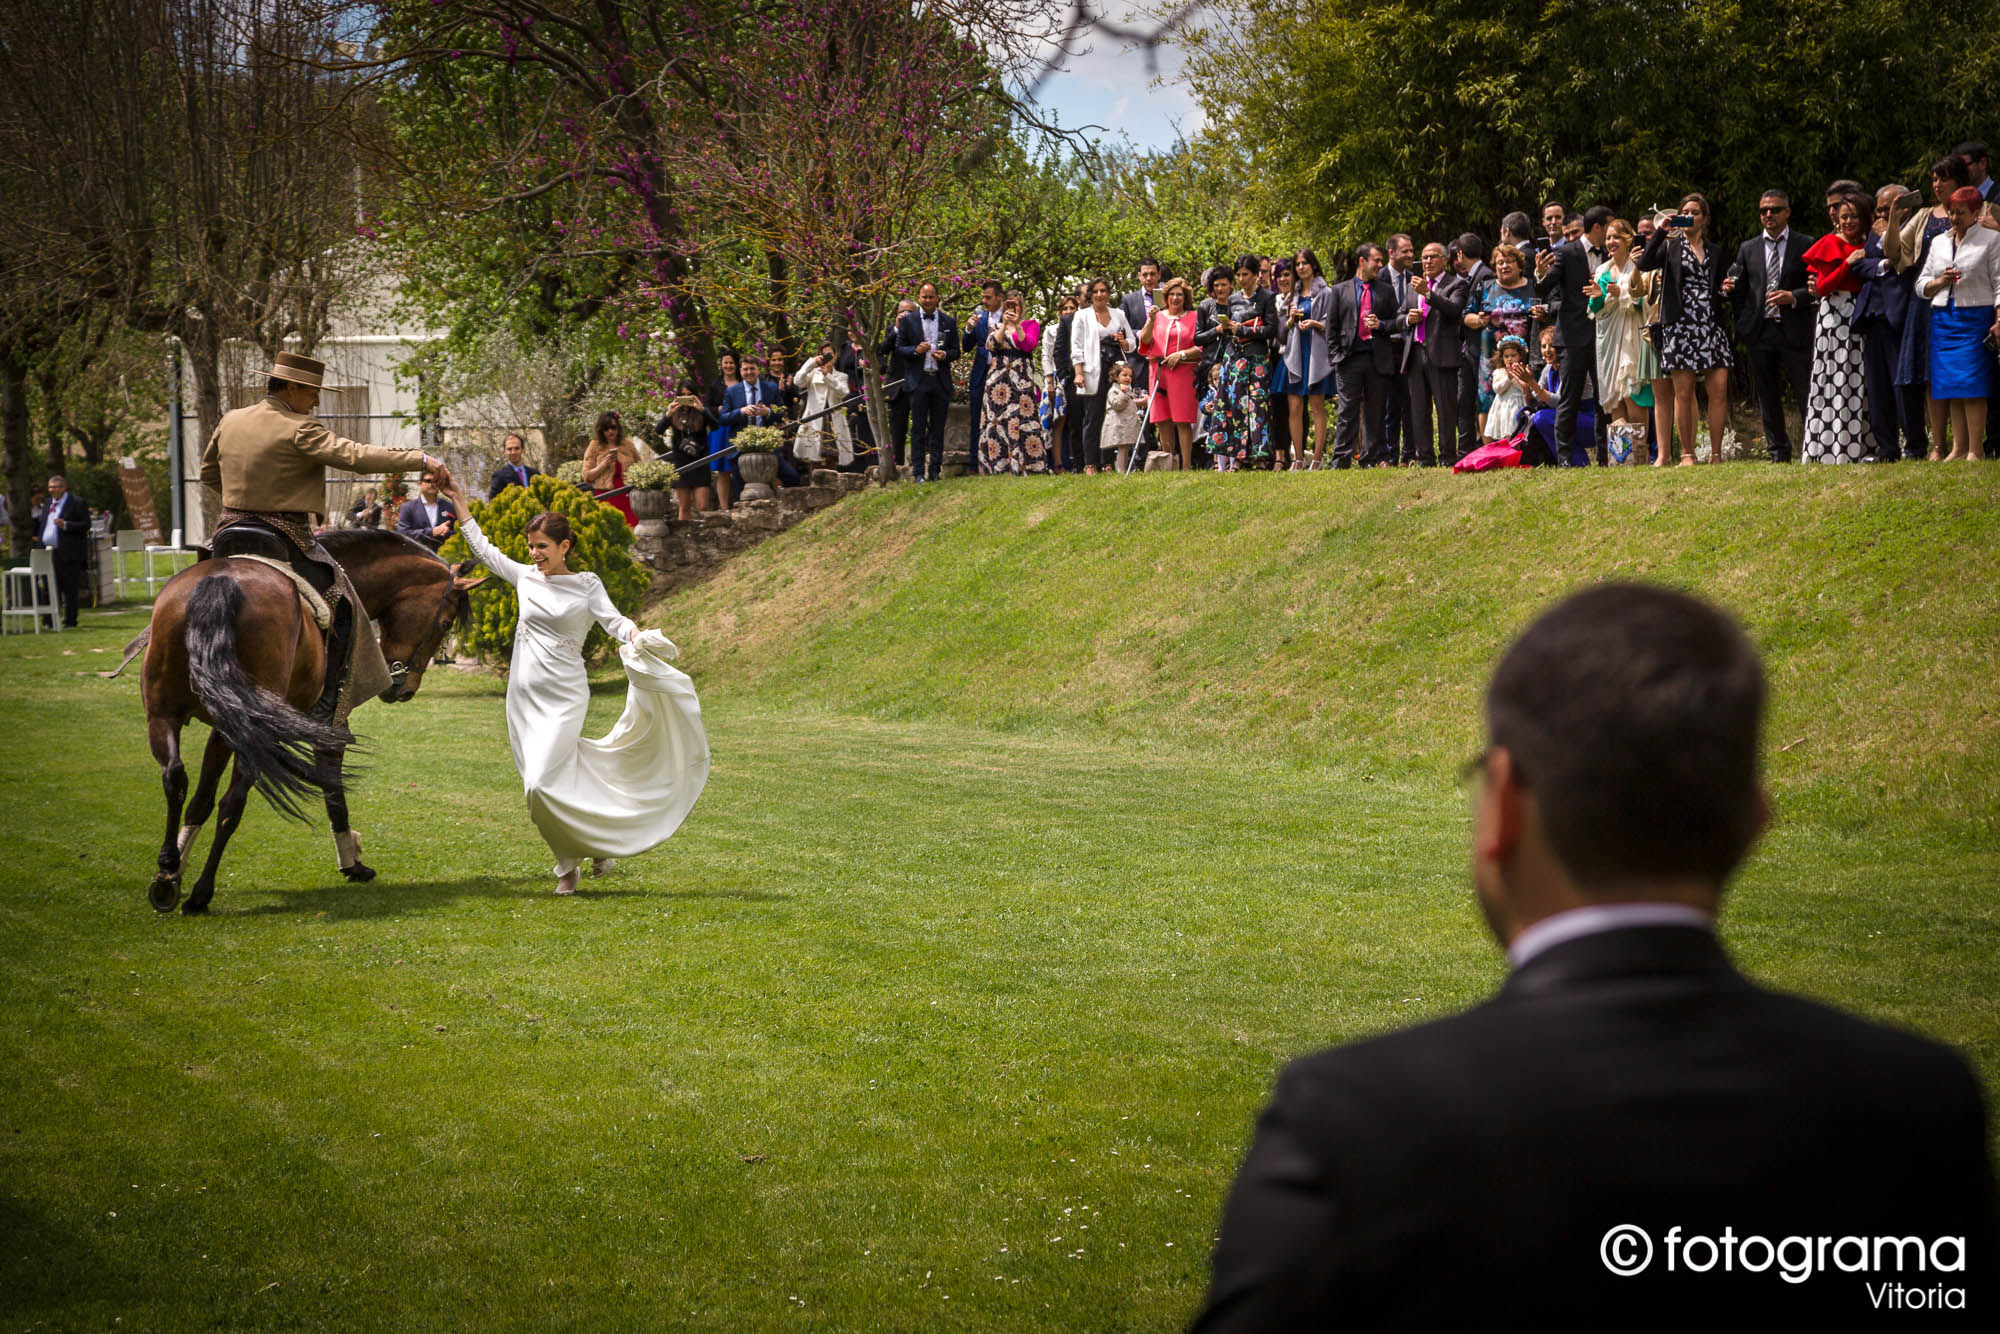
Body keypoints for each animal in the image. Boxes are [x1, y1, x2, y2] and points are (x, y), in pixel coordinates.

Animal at [141, 532, 484, 920]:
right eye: (445, 624)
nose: (405, 689)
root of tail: (220, 584)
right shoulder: (331, 724)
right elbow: (334, 791)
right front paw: (352, 861)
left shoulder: (225, 728)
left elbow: (200, 798)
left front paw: (175, 871)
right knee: (232, 803)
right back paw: (201, 893)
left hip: (166, 715)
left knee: (175, 777)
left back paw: (167, 871)